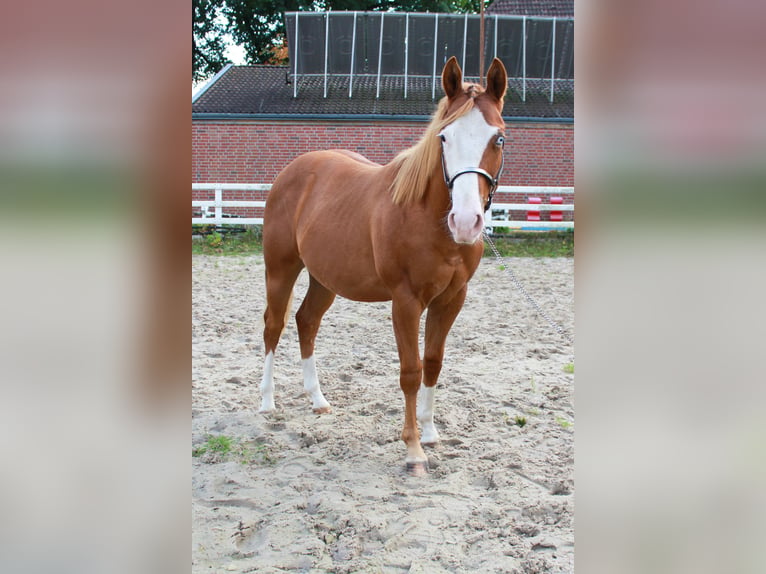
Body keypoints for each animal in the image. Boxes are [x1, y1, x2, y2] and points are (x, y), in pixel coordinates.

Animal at [259, 56, 507, 475]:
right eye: (444, 137)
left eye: (499, 138)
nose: (465, 221)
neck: (425, 215)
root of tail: (292, 172)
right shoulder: (405, 302)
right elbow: (410, 371)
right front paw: (413, 450)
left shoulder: (451, 299)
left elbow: (433, 363)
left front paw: (430, 432)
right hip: (280, 271)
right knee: (273, 326)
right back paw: (266, 402)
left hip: (325, 280)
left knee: (306, 322)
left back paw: (318, 400)